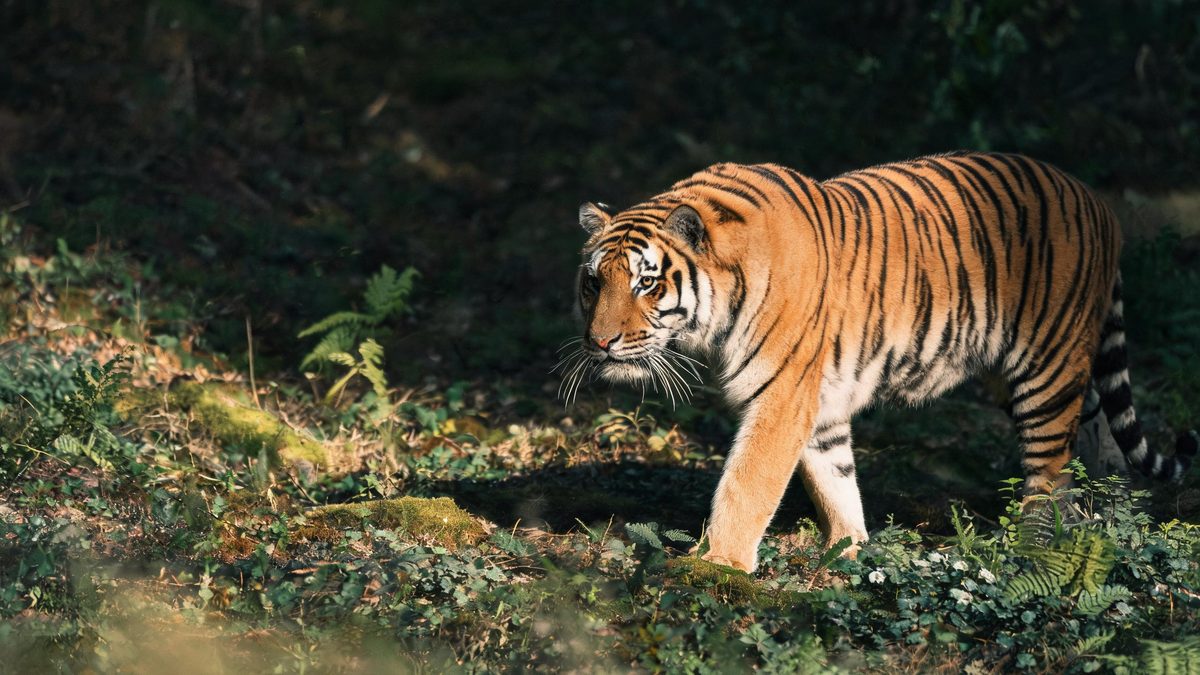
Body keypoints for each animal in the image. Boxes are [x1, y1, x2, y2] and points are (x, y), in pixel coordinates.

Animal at [563, 151, 1197, 572]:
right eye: (594, 283)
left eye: (647, 283)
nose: (601, 343)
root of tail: (1098, 201)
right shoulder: (815, 403)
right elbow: (834, 479)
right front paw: (850, 551)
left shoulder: (780, 396)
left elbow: (747, 486)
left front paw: (715, 568)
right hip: (1036, 368)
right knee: (1090, 422)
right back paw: (1106, 506)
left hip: (1045, 366)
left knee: (1050, 464)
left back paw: (1039, 540)